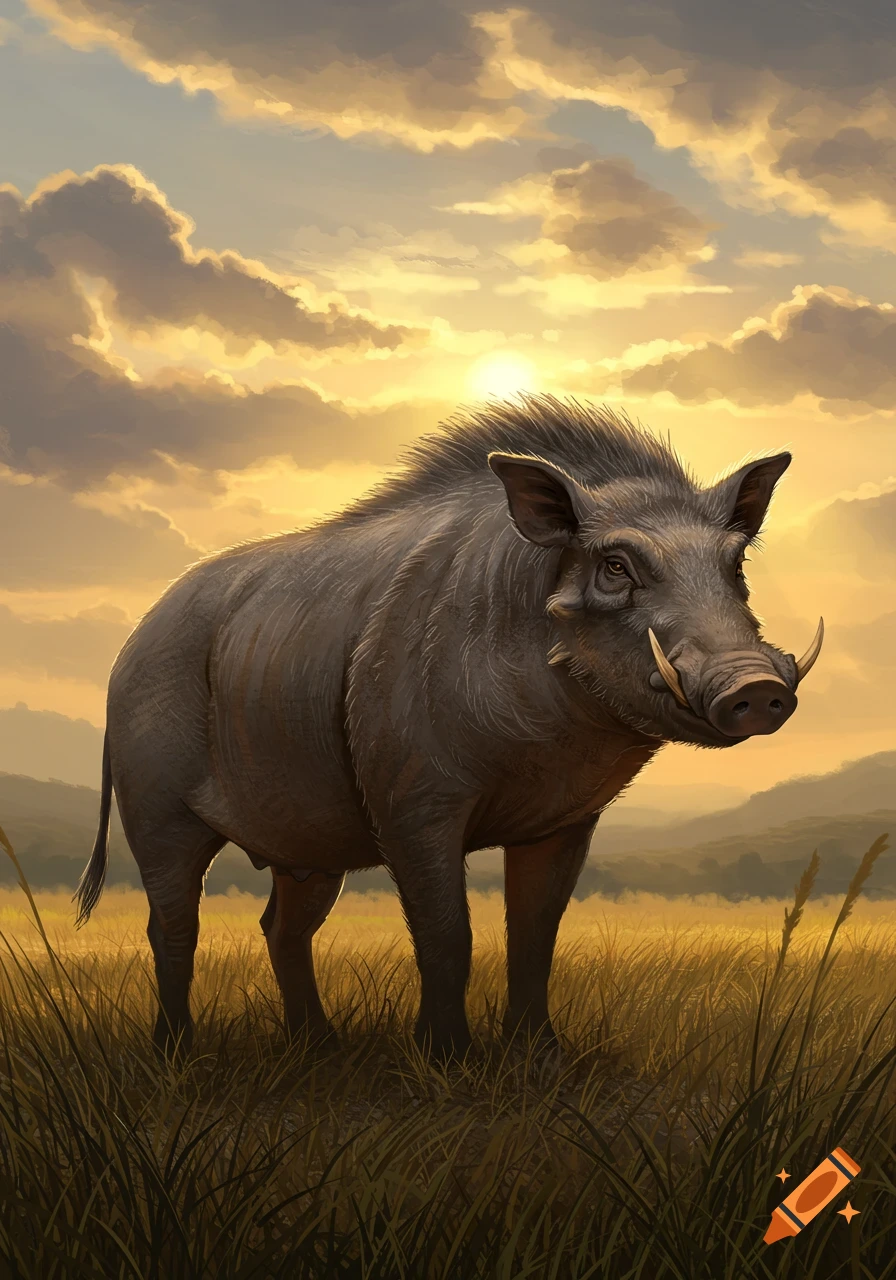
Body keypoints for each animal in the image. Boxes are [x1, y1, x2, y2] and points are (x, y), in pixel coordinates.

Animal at [75, 395, 822, 1060]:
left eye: (735, 563)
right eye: (615, 565)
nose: (755, 687)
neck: (549, 734)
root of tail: (127, 650)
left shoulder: (565, 820)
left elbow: (534, 936)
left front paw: (540, 1058)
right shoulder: (411, 801)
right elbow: (446, 935)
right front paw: (448, 1061)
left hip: (305, 840)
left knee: (281, 928)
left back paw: (319, 1049)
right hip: (158, 810)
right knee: (173, 925)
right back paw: (176, 1055)